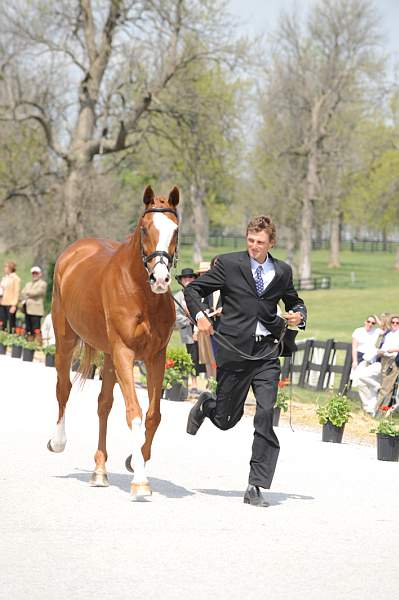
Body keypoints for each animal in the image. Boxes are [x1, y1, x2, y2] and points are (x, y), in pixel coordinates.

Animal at [47, 185, 180, 500]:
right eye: (145, 229)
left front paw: (136, 459)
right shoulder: (125, 353)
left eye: (176, 230)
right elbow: (134, 412)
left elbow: (153, 415)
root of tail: (74, 251)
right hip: (66, 339)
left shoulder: (156, 356)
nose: (160, 278)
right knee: (63, 388)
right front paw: (141, 481)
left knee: (104, 404)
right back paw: (58, 441)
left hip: (108, 356)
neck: (142, 294)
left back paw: (99, 470)